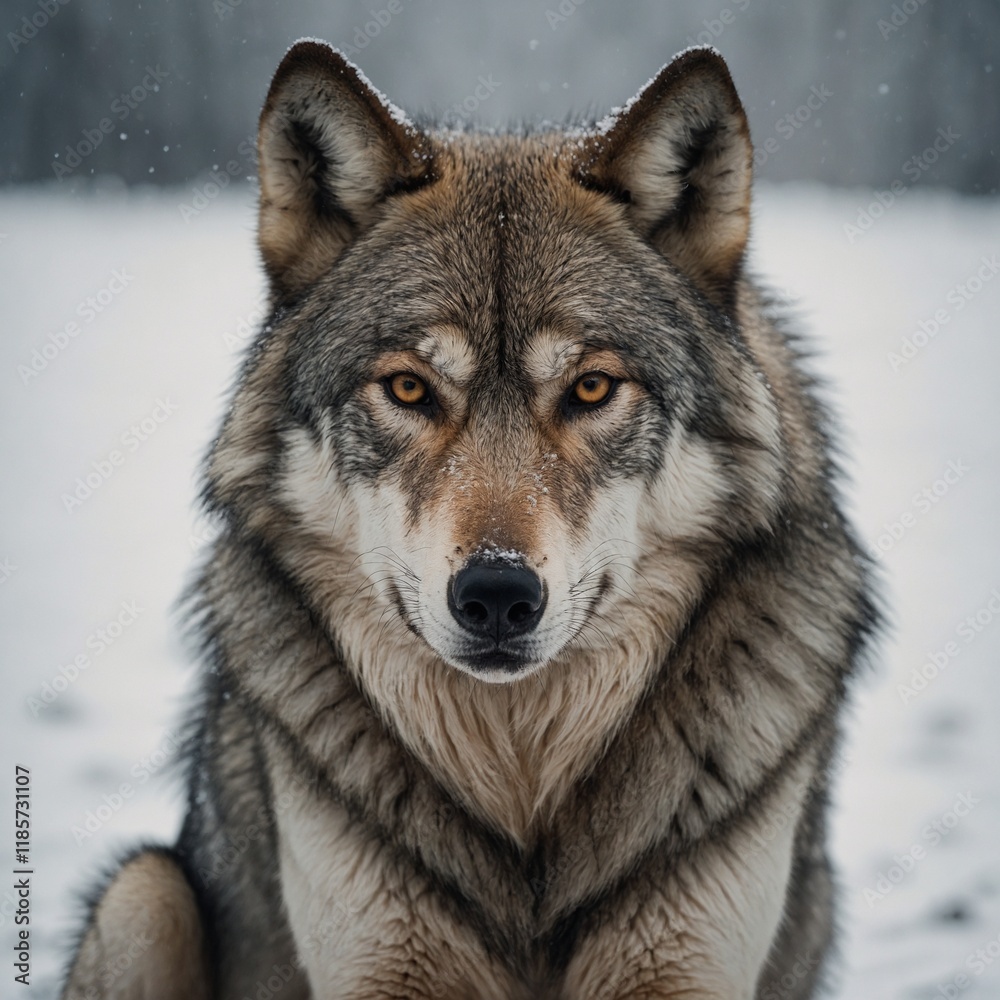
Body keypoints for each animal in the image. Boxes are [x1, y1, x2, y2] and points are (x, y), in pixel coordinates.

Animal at [62, 40, 876, 1000]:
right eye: (410, 388)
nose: (495, 596)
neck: (520, 783)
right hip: (143, 895)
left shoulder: (679, 969)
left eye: (590, 387)